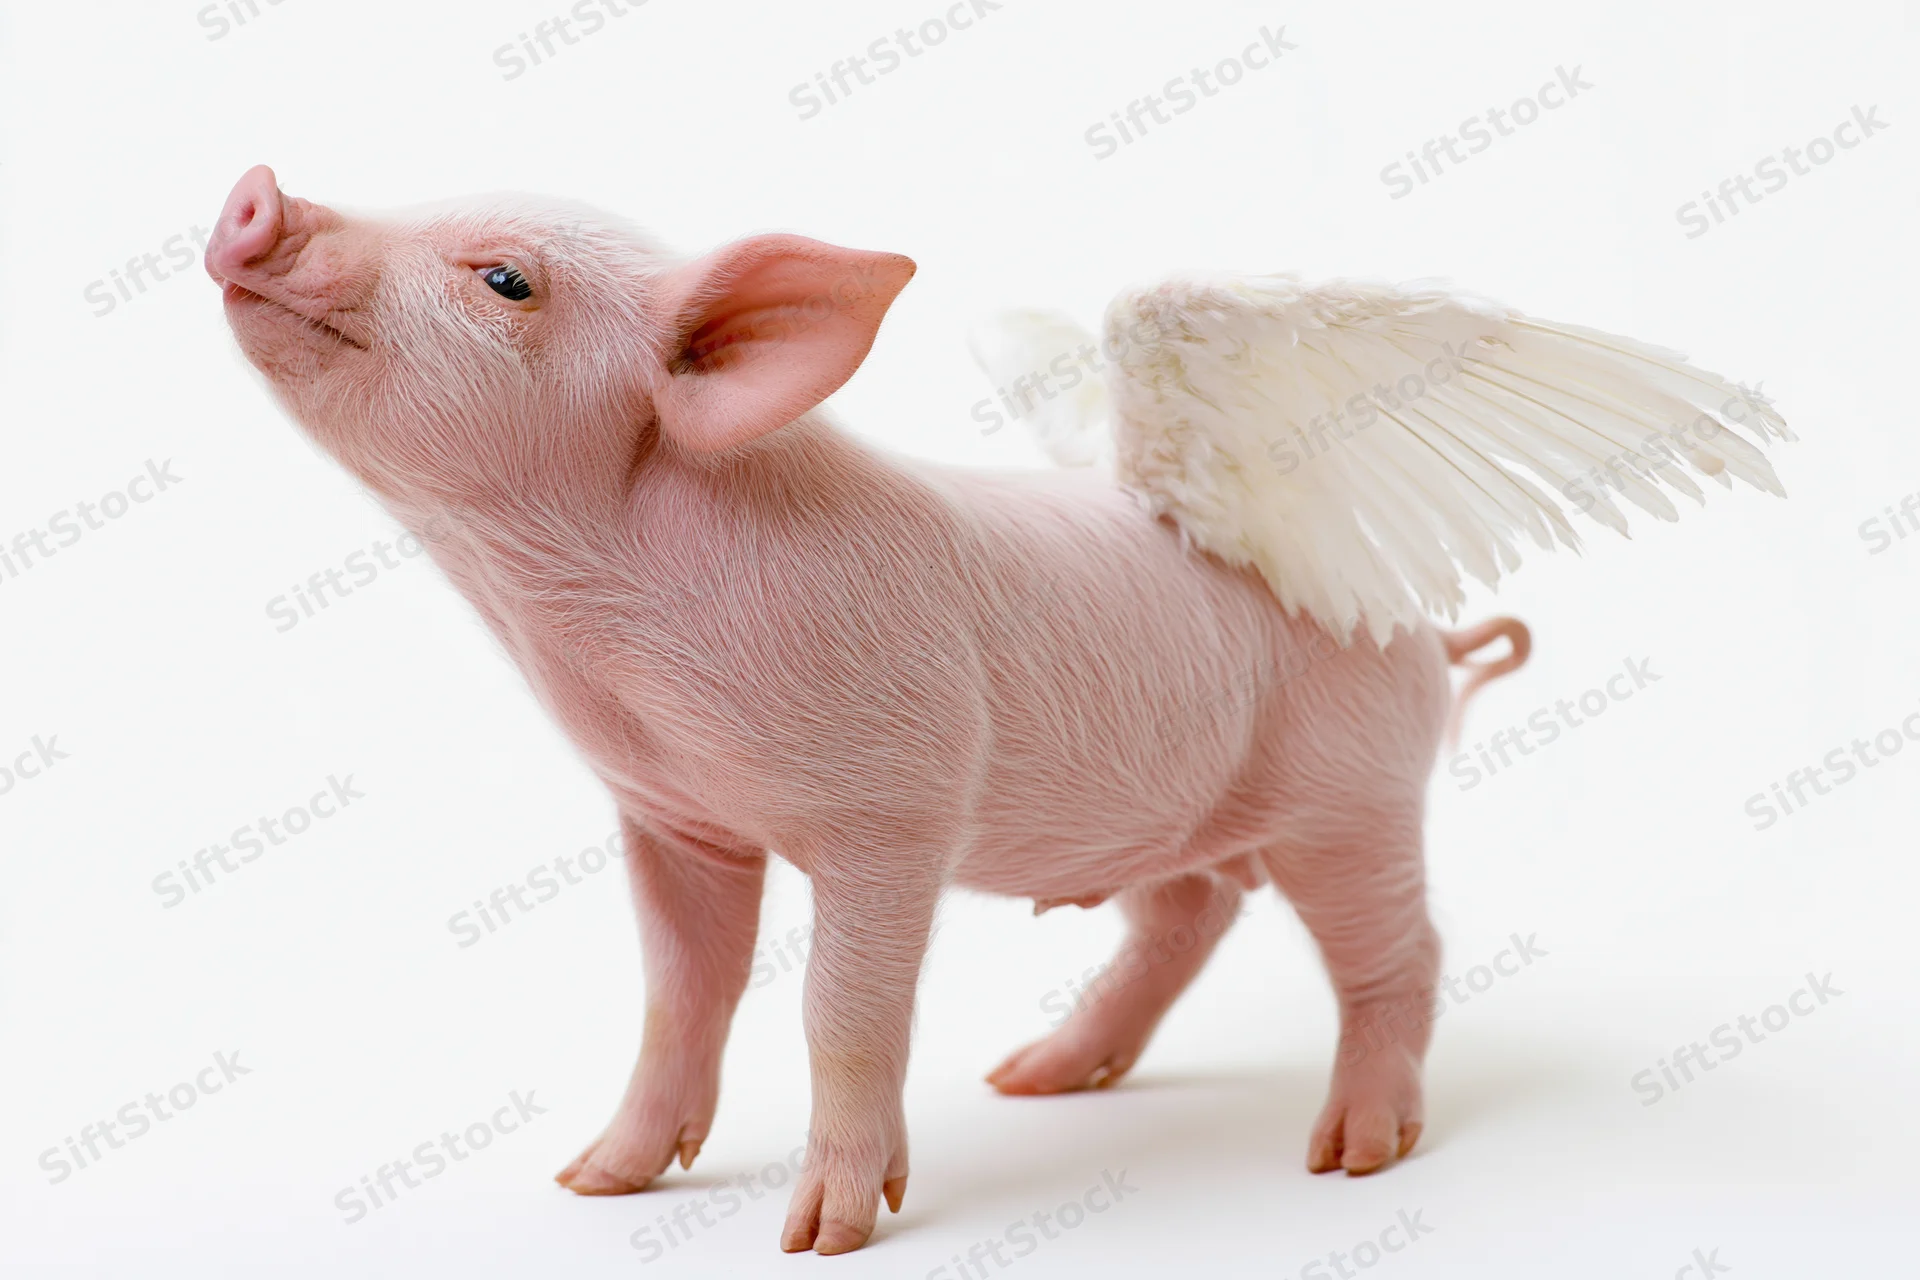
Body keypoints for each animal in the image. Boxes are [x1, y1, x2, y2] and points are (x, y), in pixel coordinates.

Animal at [205, 165, 1529, 1256]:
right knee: (1189, 912)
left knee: (1402, 947)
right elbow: (677, 994)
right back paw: (1032, 1079)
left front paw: (821, 1234)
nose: (259, 190)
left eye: (505, 280)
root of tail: (1416, 625)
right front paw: (595, 1180)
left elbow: (840, 1008)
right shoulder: (671, 814)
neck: (583, 627)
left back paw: (1350, 1153)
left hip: (1351, 790)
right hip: (1176, 812)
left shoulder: (893, 809)